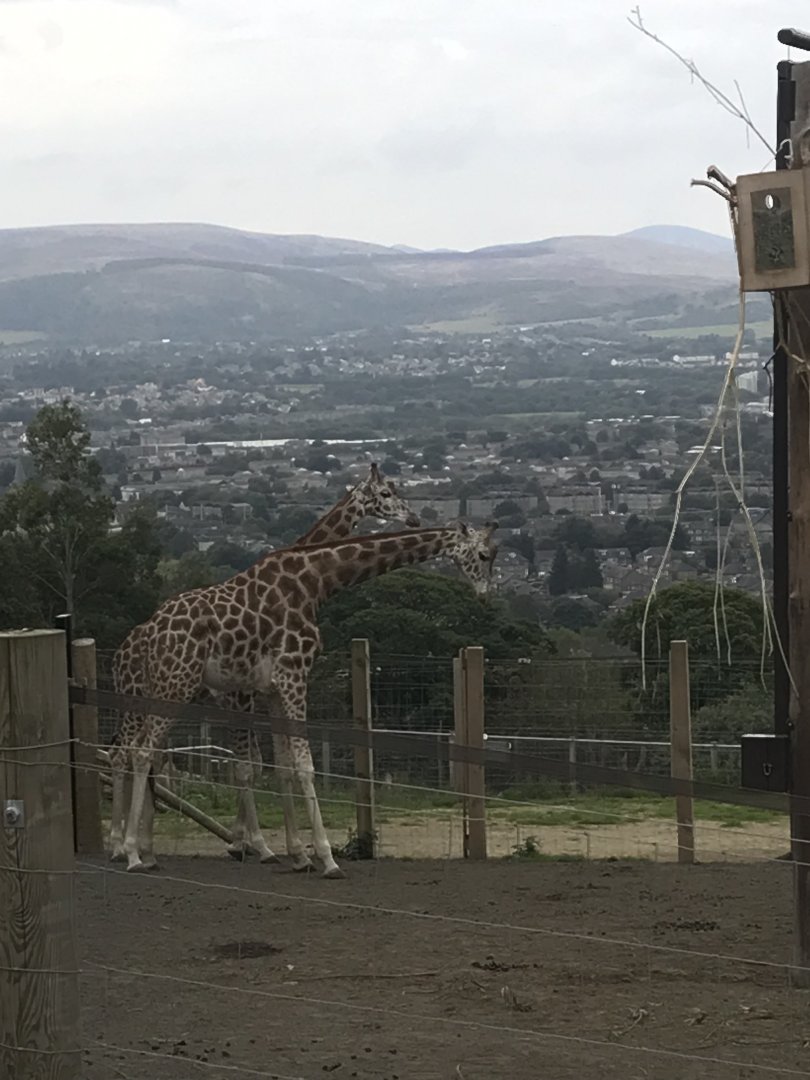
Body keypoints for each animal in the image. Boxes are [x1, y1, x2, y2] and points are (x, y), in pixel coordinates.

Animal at [108, 461, 420, 866]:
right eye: (385, 494)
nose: (413, 518)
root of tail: (124, 649)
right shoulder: (242, 695)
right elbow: (249, 766)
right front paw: (258, 845)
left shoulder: (252, 694)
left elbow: (259, 763)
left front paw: (250, 842)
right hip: (141, 696)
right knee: (127, 753)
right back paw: (122, 845)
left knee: (144, 754)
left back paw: (141, 845)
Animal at [114, 522, 499, 877]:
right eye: (483, 555)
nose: (484, 596)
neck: (315, 581)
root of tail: (148, 633)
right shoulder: (294, 675)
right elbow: (304, 765)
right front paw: (327, 859)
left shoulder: (273, 688)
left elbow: (283, 766)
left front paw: (298, 855)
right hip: (174, 684)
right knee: (142, 751)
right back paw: (130, 853)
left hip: (163, 689)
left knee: (143, 752)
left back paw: (146, 853)